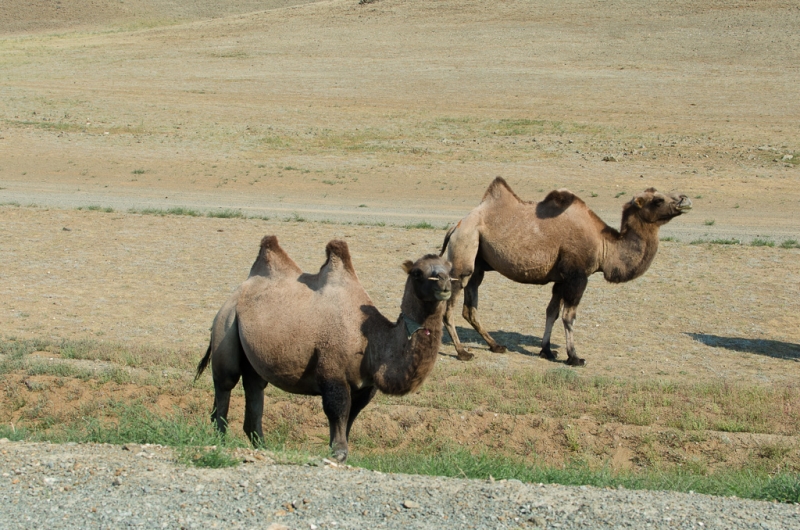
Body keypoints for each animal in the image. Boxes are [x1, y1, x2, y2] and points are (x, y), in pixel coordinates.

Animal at [197, 233, 454, 460]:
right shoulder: (332, 370)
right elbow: (337, 409)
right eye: (418, 272)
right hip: (226, 325)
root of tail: (235, 294)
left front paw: (340, 449)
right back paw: (220, 441)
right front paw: (338, 452)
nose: (444, 284)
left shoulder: (365, 386)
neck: (370, 340)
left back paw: (262, 446)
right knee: (225, 383)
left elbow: (352, 415)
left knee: (254, 388)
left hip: (252, 352)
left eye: (449, 269)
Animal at [440, 175, 692, 366]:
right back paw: (463, 353)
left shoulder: (560, 279)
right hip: (464, 253)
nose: (685, 199)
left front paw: (547, 351)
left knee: (470, 308)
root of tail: (455, 227)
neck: (604, 245)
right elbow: (569, 317)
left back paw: (495, 345)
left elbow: (551, 312)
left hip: (478, 264)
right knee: (449, 307)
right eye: (658, 199)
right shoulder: (577, 276)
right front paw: (575, 357)